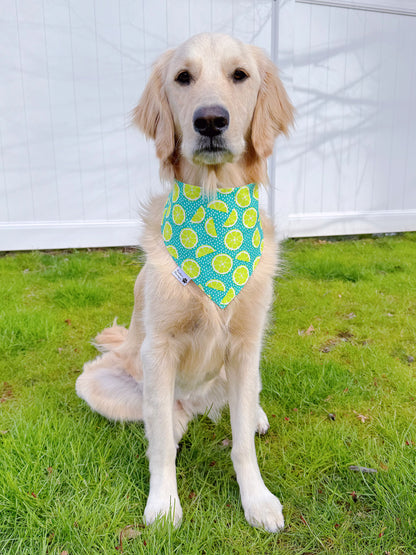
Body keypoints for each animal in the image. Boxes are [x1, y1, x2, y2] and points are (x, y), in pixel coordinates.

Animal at [76, 31, 294, 536]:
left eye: (240, 75)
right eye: (182, 78)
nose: (210, 120)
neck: (213, 217)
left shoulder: (246, 345)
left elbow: (241, 443)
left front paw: (257, 500)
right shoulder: (159, 350)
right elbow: (159, 446)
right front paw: (162, 504)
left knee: (241, 410)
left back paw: (253, 415)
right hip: (100, 381)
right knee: (168, 424)